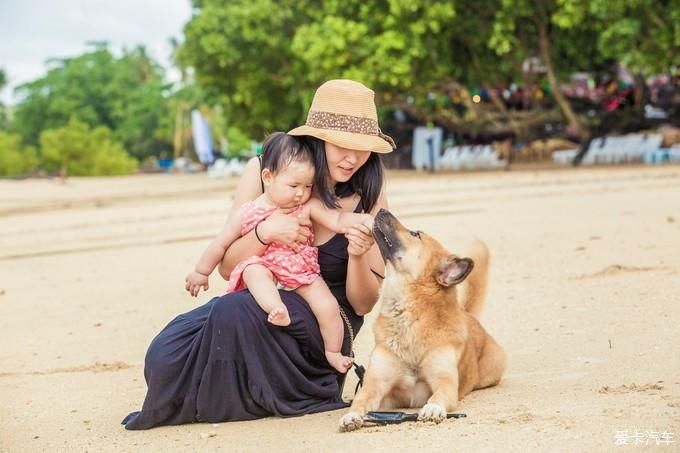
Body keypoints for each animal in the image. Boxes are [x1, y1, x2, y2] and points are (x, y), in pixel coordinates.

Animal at [340, 208, 504, 430]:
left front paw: (433, 408)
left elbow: (438, 396)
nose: (381, 210)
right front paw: (352, 415)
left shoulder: (445, 383)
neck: (410, 318)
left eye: (415, 234)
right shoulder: (376, 386)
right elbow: (360, 401)